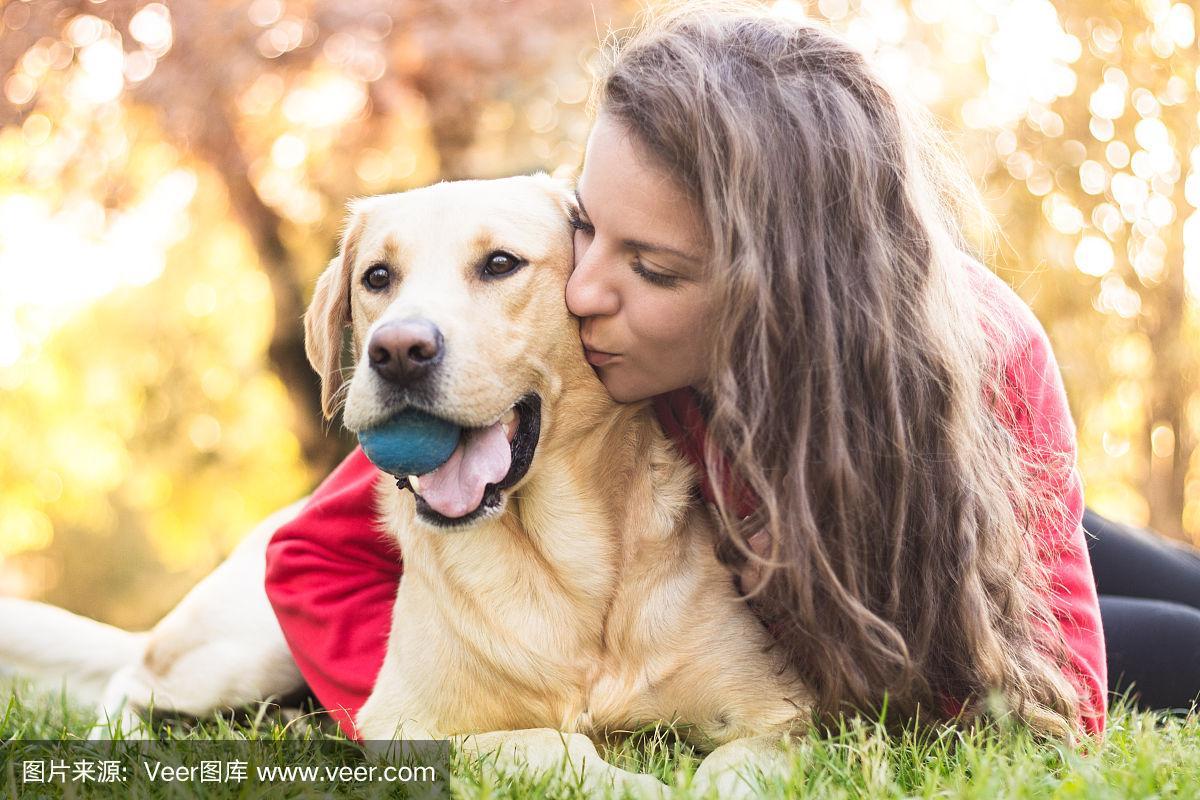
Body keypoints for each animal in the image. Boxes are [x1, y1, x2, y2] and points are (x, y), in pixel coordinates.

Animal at [0, 176, 811, 800]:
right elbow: (546, 743)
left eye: (501, 263)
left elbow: (742, 761)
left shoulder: (784, 712)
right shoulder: (407, 722)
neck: (569, 564)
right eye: (377, 278)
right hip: (243, 645)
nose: (398, 350)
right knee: (131, 681)